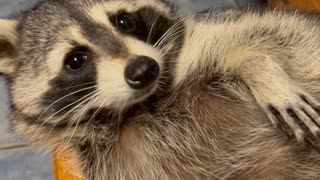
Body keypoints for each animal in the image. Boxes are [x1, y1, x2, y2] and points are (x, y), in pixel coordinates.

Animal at [1, 0, 320, 179]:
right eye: (76, 60)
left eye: (123, 20)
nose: (144, 70)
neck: (139, 105)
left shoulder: (214, 32)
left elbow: (253, 35)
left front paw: (259, 68)